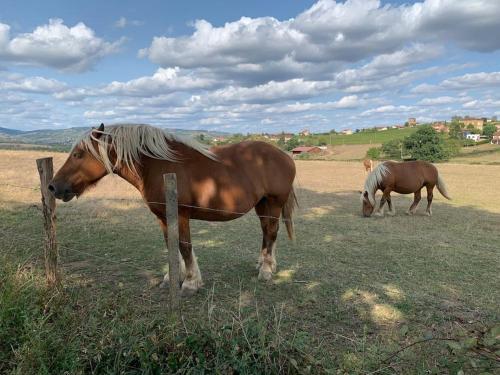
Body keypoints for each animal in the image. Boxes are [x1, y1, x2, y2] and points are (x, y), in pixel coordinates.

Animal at [49, 125, 296, 296]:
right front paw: (172, 277)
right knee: (266, 233)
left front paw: (190, 283)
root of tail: (285, 156)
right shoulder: (163, 217)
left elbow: (184, 246)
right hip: (262, 205)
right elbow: (171, 244)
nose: (53, 187)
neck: (156, 165)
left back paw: (266, 271)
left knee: (271, 233)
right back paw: (265, 264)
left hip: (274, 203)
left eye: (78, 154)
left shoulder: (180, 214)